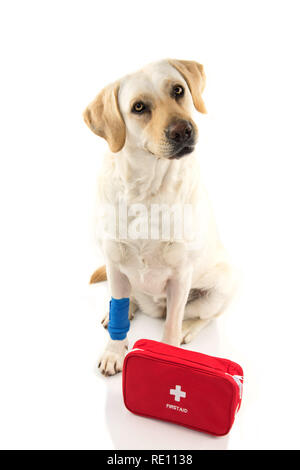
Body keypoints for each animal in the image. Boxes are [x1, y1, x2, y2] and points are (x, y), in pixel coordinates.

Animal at [83, 58, 236, 376]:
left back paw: (188, 329)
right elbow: (119, 310)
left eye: (178, 90)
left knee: (202, 316)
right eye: (139, 107)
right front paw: (114, 351)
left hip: (220, 288)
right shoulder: (113, 260)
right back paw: (122, 310)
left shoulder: (181, 276)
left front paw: (170, 356)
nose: (183, 130)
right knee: (126, 297)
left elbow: (171, 326)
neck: (147, 192)